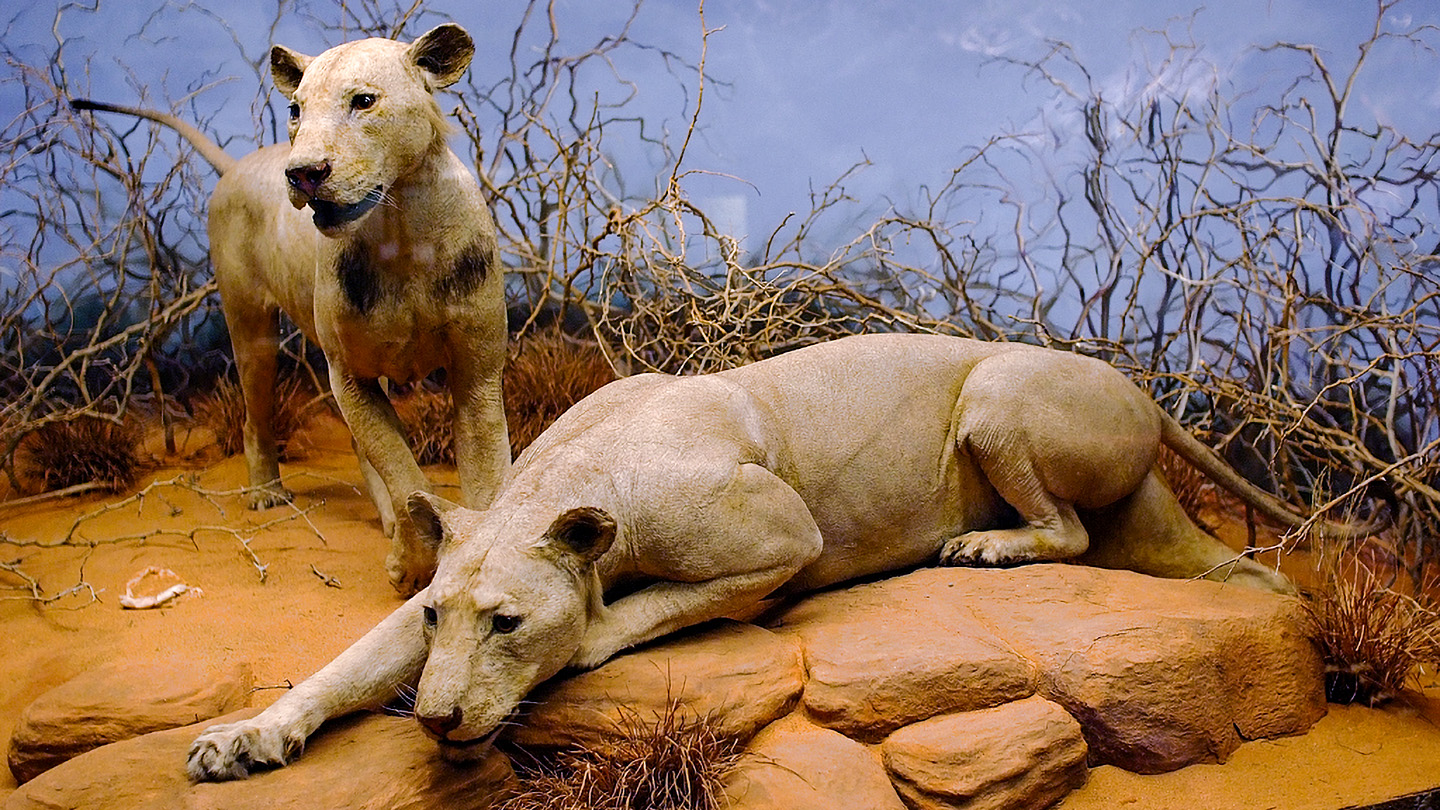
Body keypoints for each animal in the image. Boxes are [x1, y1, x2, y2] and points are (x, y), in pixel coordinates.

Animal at [75, 23, 512, 593]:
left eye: (363, 101)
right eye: (296, 110)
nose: (304, 173)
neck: (401, 233)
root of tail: (239, 163)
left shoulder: (477, 373)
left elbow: (484, 478)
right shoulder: (346, 373)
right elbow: (401, 472)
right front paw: (412, 563)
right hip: (251, 328)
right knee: (256, 416)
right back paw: (267, 492)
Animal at [185, 331, 1365, 778]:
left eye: (510, 625)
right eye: (439, 618)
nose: (434, 721)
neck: (567, 484)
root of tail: (1146, 392)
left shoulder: (782, 536)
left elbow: (642, 610)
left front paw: (591, 632)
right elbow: (344, 666)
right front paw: (245, 739)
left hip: (997, 394)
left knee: (1069, 532)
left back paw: (983, 544)